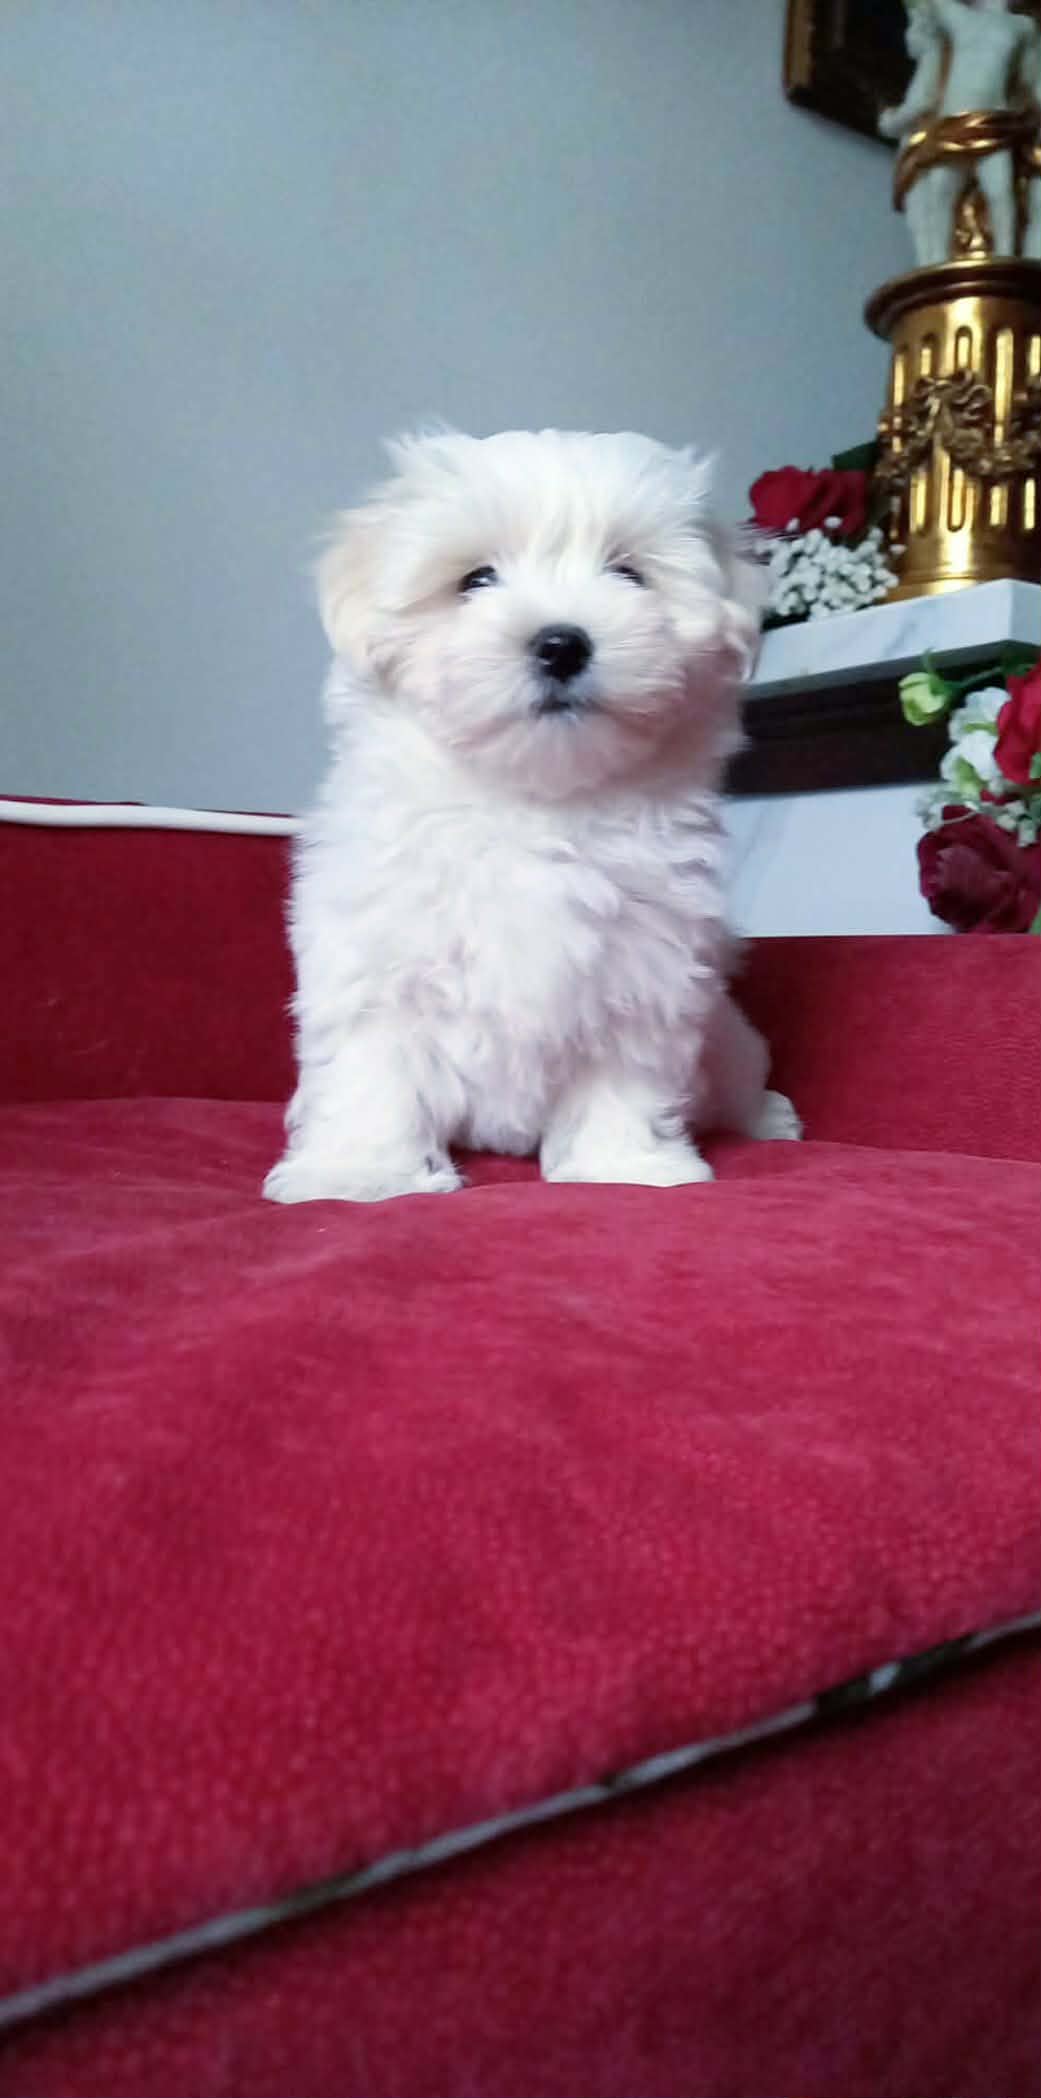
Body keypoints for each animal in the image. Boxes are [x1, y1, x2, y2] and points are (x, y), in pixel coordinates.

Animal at [264, 427, 799, 1205]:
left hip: (726, 1039)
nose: (560, 643)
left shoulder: (642, 970)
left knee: (738, 1072)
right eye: (474, 580)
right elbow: (374, 1072)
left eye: (629, 574)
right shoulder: (376, 962)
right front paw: (359, 1172)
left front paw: (622, 1165)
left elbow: (621, 1076)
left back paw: (768, 1116)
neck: (534, 799)